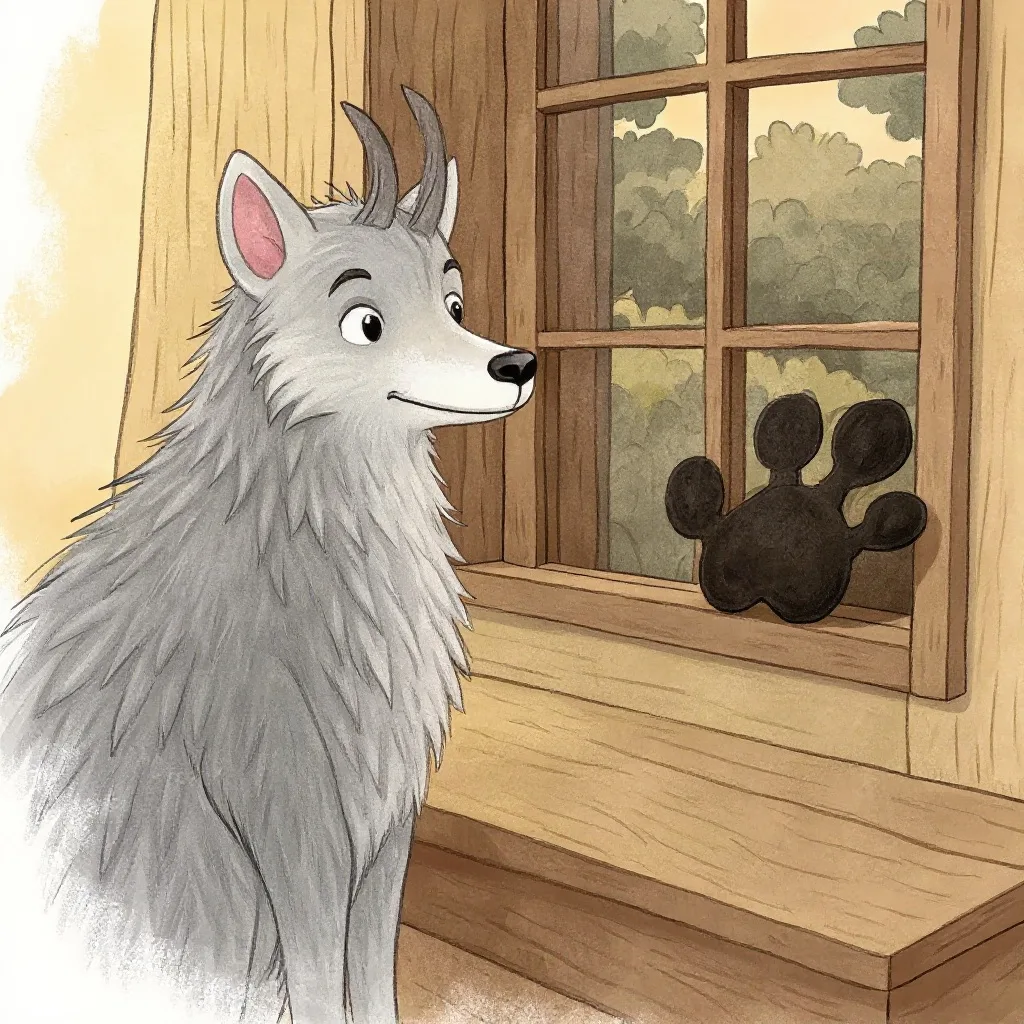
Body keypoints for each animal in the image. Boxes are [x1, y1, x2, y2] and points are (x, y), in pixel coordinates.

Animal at [0, 88, 535, 1024]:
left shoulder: (386, 817)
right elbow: (322, 982)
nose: (518, 363)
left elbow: (374, 975)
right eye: (366, 322)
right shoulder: (292, 814)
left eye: (456, 305)